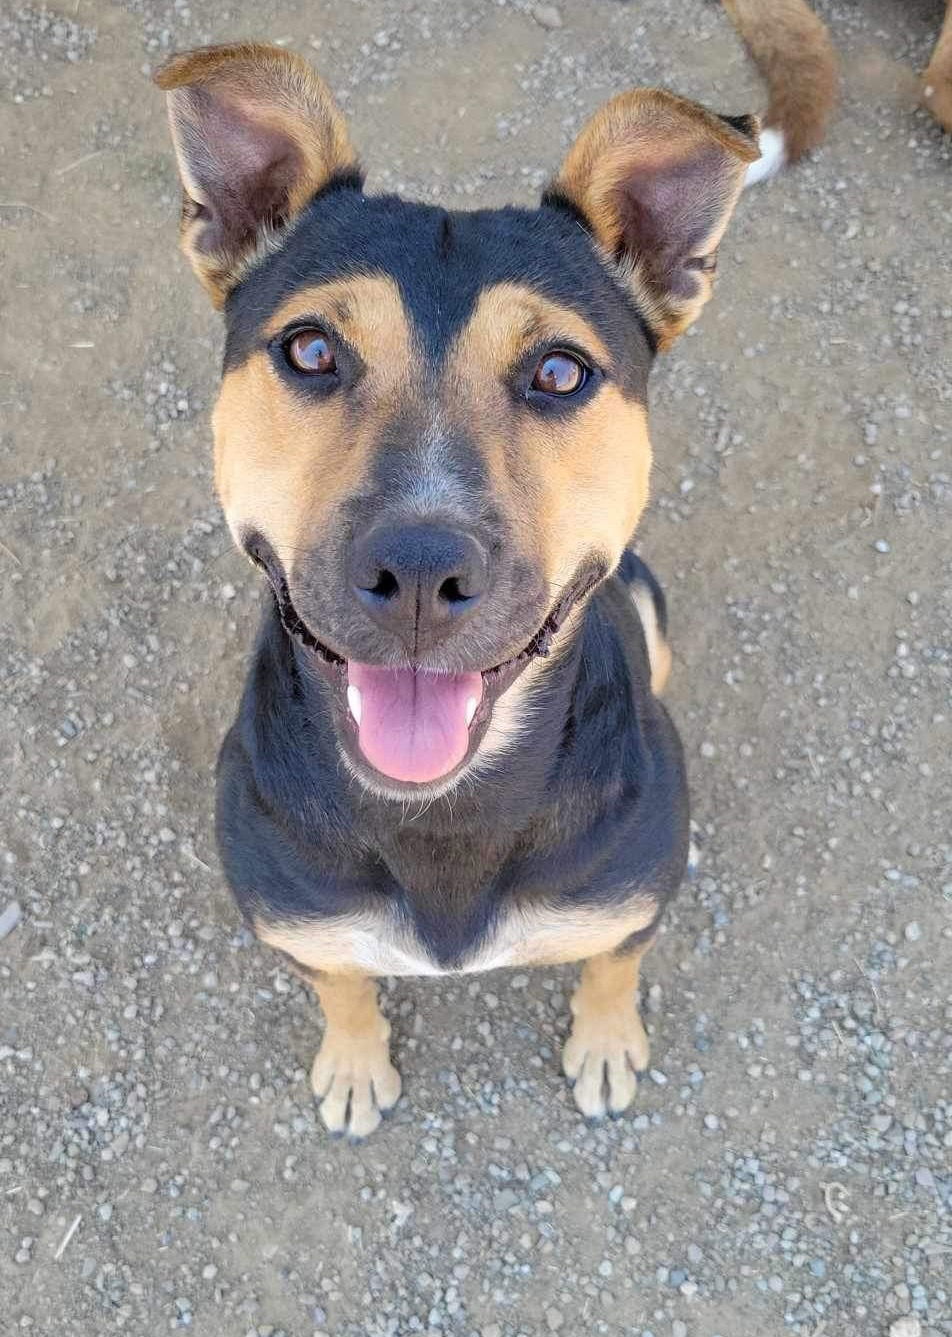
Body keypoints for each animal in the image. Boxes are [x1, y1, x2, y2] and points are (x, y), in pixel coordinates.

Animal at [150, 41, 759, 1133]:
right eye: (311, 349)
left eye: (560, 371)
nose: (422, 572)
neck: (442, 814)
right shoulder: (303, 923)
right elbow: (342, 984)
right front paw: (355, 1062)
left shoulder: (628, 903)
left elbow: (611, 964)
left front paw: (607, 1042)